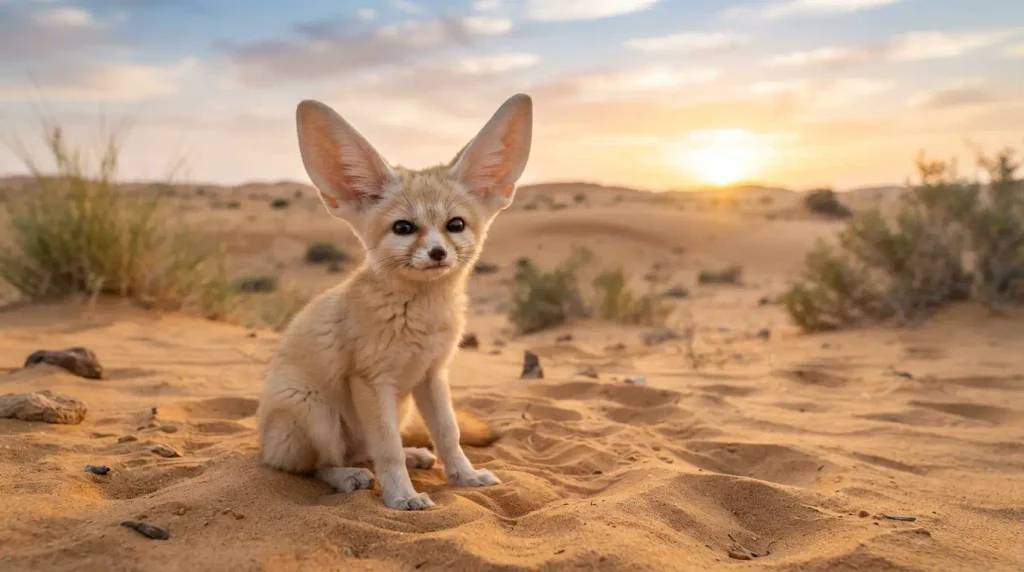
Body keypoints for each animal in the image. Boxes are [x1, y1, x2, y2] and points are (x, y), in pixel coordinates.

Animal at [256, 93, 532, 510]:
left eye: (455, 225)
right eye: (403, 228)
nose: (437, 253)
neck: (421, 316)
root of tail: (263, 445)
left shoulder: (432, 375)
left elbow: (448, 433)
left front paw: (465, 477)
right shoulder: (371, 380)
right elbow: (387, 449)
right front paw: (402, 497)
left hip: (400, 407)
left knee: (364, 451)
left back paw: (414, 454)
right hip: (315, 411)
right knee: (319, 464)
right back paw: (347, 476)